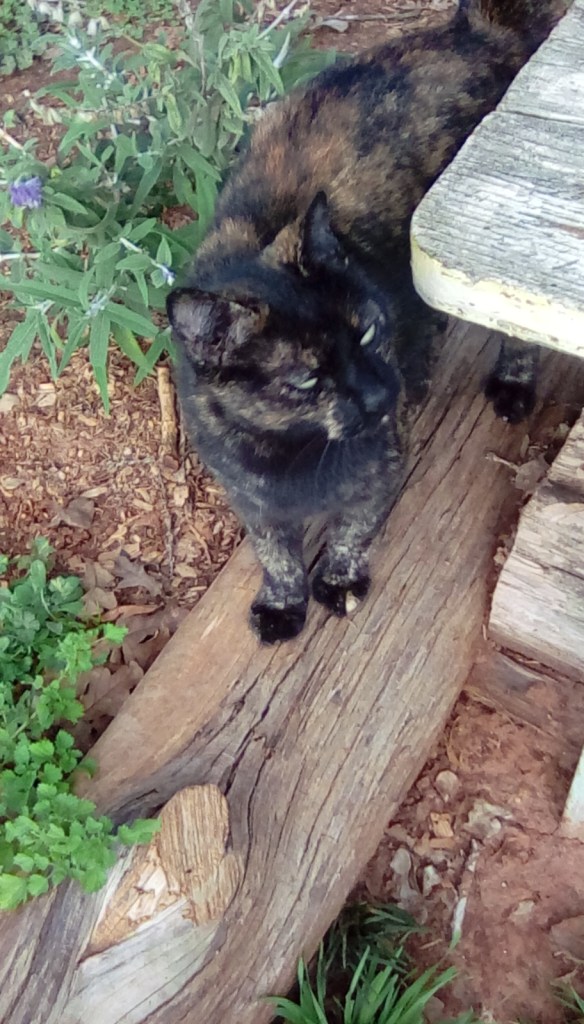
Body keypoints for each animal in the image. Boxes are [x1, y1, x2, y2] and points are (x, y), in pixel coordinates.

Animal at [167, 0, 568, 644]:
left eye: (370, 333)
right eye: (306, 378)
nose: (382, 394)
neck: (292, 455)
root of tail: (478, 30)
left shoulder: (381, 466)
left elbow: (354, 527)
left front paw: (339, 581)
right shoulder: (250, 498)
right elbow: (274, 553)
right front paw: (282, 603)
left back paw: (511, 381)